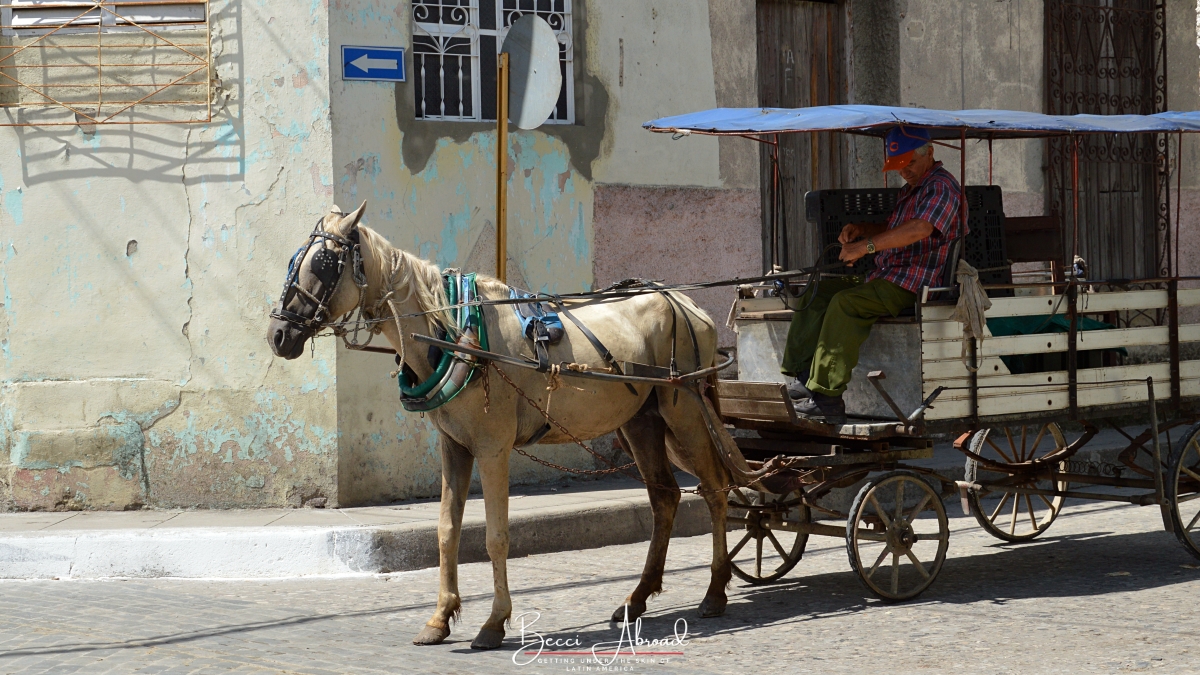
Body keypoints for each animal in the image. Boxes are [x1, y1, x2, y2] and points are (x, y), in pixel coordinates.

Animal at [267, 204, 744, 648]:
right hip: (641, 423)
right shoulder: (454, 446)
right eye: (294, 261)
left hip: (684, 410)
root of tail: (688, 304)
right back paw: (637, 599)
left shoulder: (493, 447)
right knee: (665, 498)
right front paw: (440, 618)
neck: (456, 333)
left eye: (322, 264)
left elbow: (496, 536)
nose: (278, 335)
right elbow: (447, 531)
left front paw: (494, 622)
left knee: (715, 487)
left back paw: (715, 592)